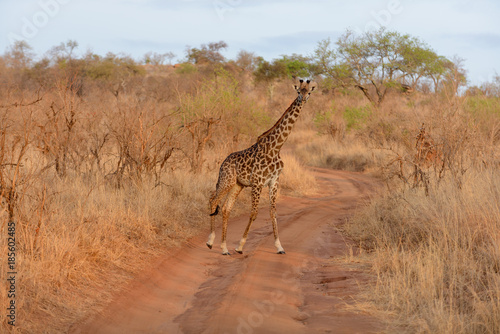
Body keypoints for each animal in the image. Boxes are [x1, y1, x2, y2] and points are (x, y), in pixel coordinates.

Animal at [206, 79, 316, 256]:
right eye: (299, 91)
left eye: (309, 92)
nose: (303, 100)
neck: (276, 147)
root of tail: (223, 162)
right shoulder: (257, 182)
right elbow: (254, 213)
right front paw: (240, 246)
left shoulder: (274, 182)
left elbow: (273, 212)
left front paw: (279, 247)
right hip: (226, 180)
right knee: (213, 200)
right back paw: (210, 242)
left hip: (238, 185)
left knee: (226, 208)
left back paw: (224, 248)